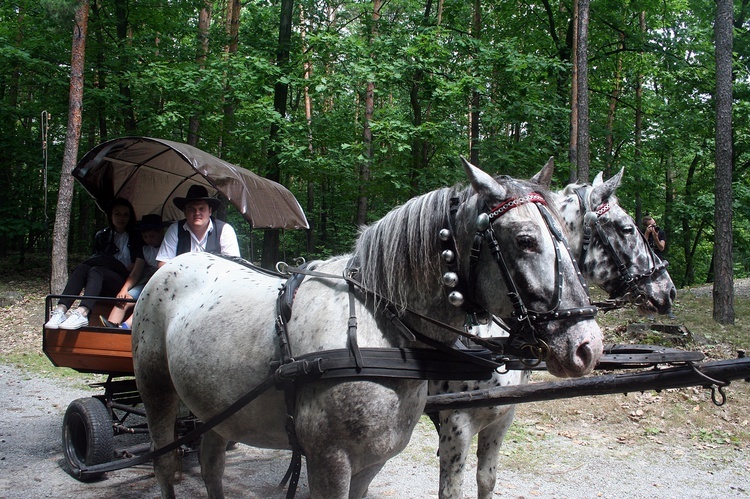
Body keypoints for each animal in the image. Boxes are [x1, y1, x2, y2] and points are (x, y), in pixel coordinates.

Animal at [131, 160, 604, 499]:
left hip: (216, 408)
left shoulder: (372, 462)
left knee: (211, 462)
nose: (587, 346)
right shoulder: (330, 463)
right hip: (156, 389)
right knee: (165, 465)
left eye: (569, 238)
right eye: (525, 240)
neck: (382, 331)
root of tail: (176, 262)